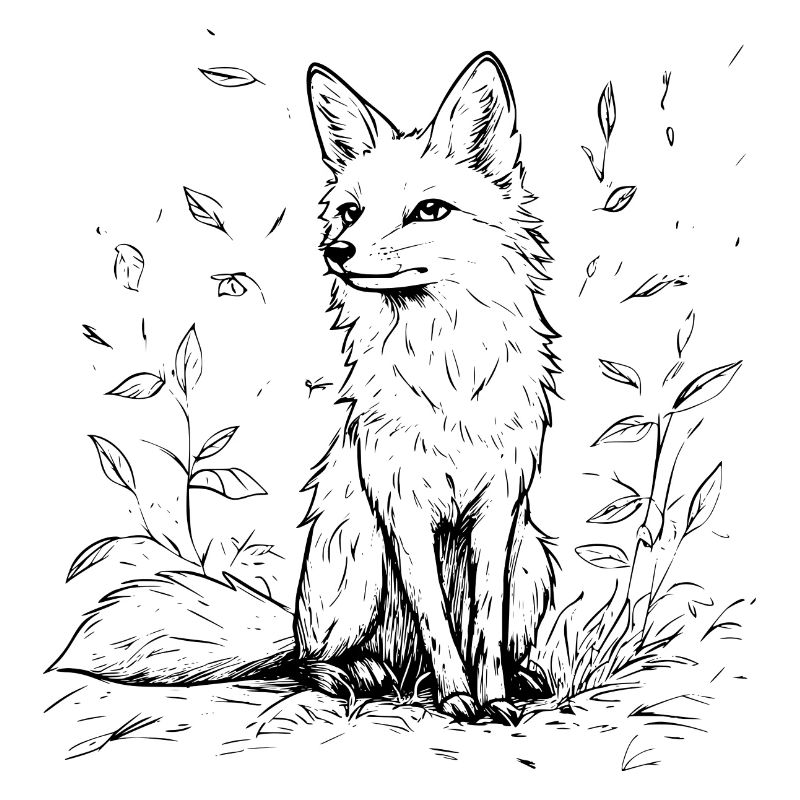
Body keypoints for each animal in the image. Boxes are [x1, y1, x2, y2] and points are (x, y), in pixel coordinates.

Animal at [51, 52, 559, 725]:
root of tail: (294, 623)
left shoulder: (498, 512)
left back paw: (514, 678)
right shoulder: (403, 510)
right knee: (313, 662)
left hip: (531, 566)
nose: (336, 250)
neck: (446, 371)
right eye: (350, 211)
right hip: (358, 561)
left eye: (429, 210)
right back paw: (362, 675)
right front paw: (458, 699)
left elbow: (482, 629)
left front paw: (493, 697)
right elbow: (439, 627)